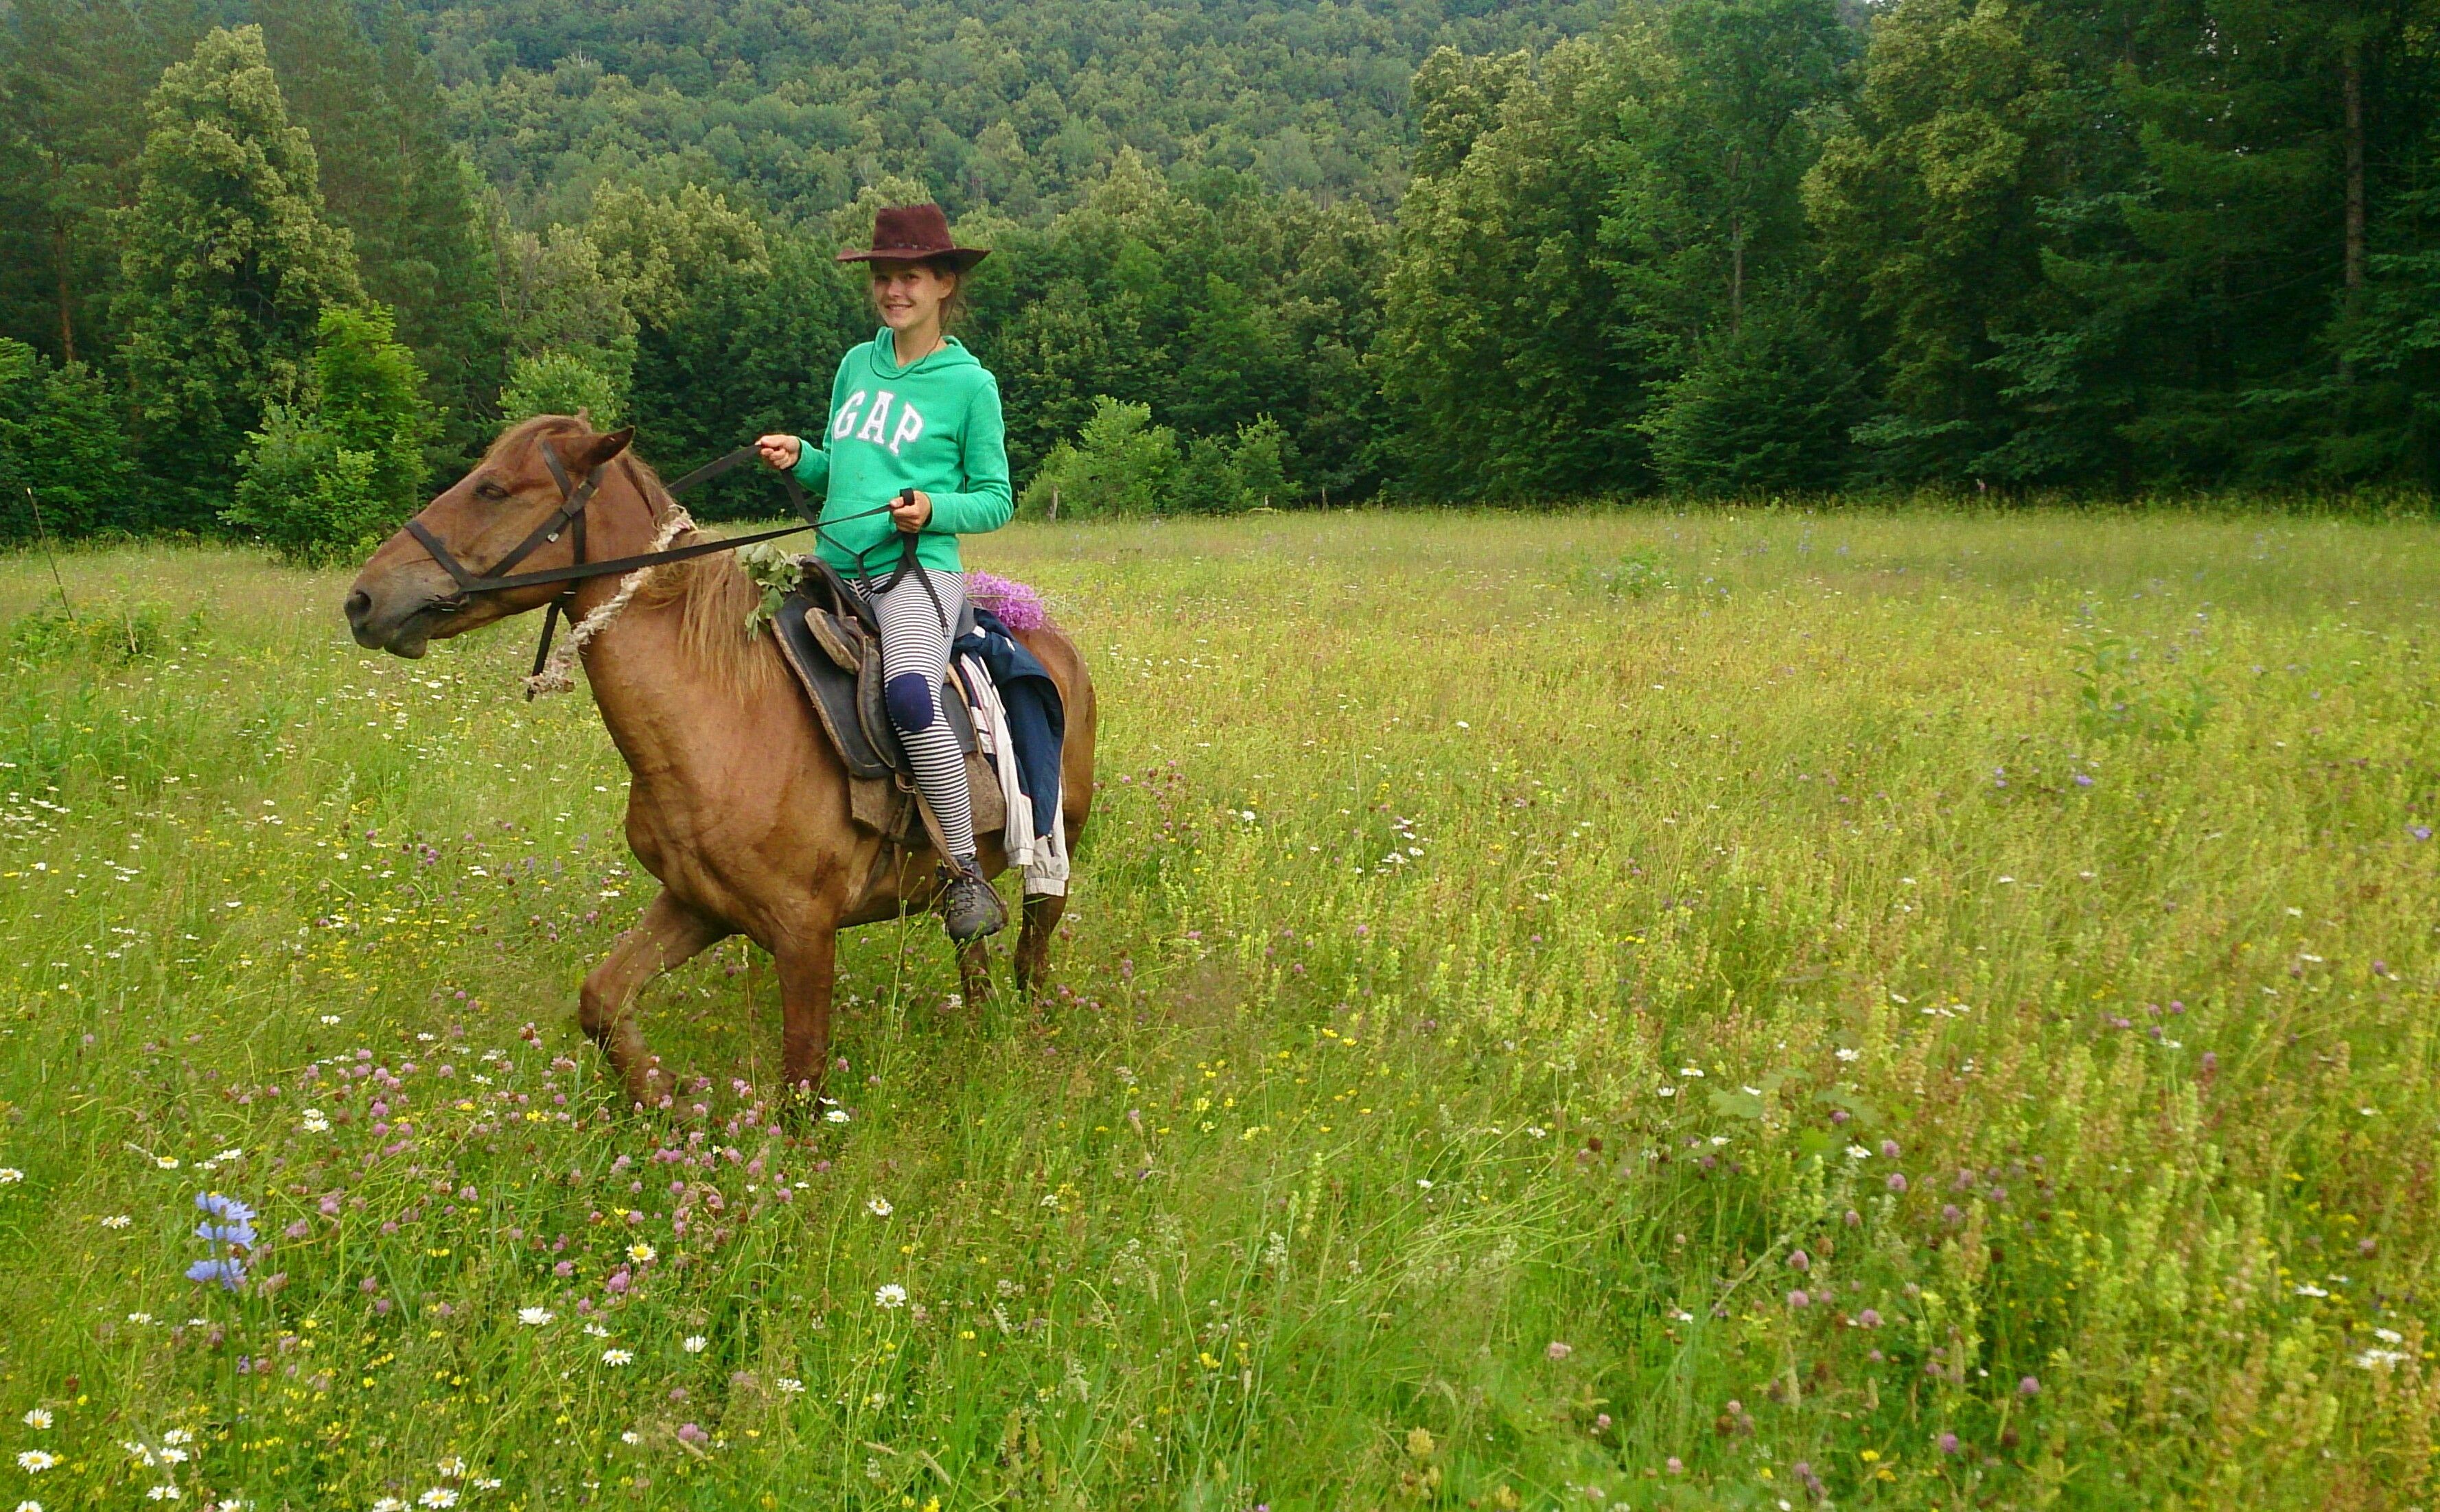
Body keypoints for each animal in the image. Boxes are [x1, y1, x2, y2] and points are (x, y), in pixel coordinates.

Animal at [341, 419, 1097, 1102]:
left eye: (493, 489)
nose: (363, 599)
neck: (726, 716)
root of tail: (1046, 635)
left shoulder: (804, 932)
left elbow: (801, 1079)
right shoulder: (696, 902)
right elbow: (602, 1000)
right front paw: (664, 1101)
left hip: (1053, 856)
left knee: (1031, 959)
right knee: (974, 951)